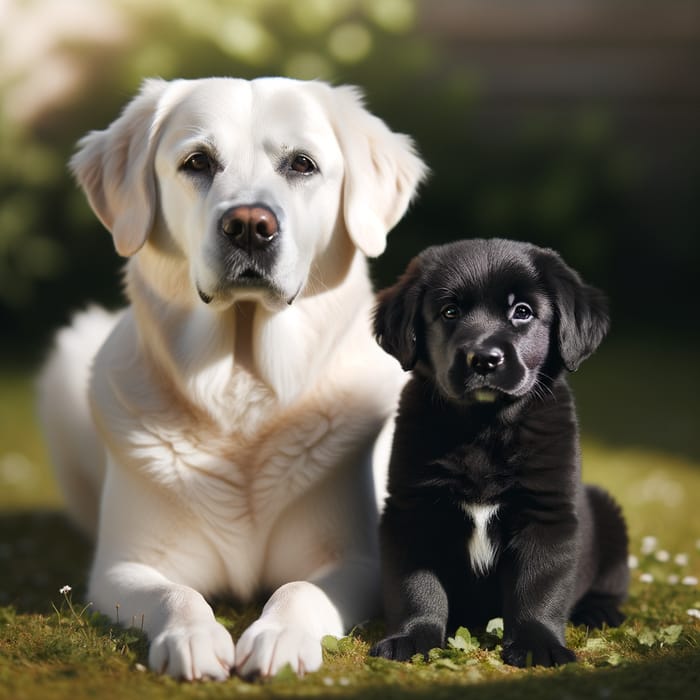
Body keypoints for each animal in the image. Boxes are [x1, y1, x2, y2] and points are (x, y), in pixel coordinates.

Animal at [38, 75, 426, 680]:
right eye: (197, 161)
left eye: (302, 164)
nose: (248, 226)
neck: (241, 387)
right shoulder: (123, 567)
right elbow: (177, 594)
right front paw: (192, 638)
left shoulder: (354, 561)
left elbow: (298, 590)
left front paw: (280, 637)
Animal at [372, 237, 628, 668]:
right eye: (450, 311)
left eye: (522, 312)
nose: (484, 359)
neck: (484, 428)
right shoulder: (411, 509)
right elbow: (416, 586)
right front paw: (411, 637)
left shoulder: (547, 512)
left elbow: (538, 589)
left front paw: (538, 643)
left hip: (608, 514)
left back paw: (600, 612)